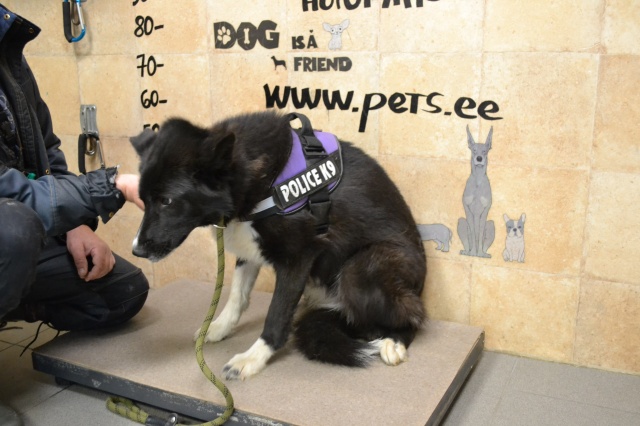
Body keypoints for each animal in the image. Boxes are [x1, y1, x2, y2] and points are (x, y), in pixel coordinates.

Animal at [130, 111, 426, 380]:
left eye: (167, 201)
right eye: (142, 199)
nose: (136, 250)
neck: (260, 178)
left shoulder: (299, 258)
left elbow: (277, 315)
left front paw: (252, 359)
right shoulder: (248, 249)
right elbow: (237, 296)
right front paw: (219, 328)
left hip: (361, 271)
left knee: (412, 316)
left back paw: (394, 341)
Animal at [457, 125, 495, 258]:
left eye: (484, 151)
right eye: (474, 150)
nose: (479, 158)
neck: (478, 183)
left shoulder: (485, 210)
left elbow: (480, 232)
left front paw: (478, 252)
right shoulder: (467, 209)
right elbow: (473, 233)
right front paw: (473, 252)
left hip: (491, 224)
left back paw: (483, 254)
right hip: (461, 221)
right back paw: (467, 252)